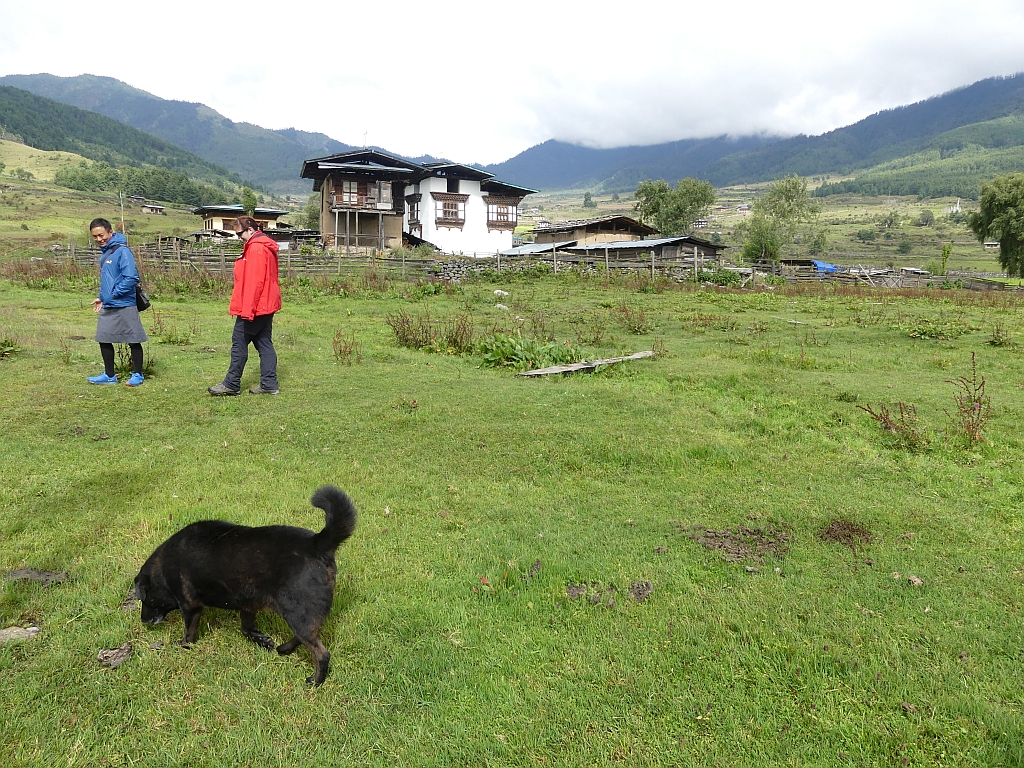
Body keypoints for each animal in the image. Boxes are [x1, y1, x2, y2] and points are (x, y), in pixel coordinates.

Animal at [133, 485, 356, 686]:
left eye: (146, 599)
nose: (144, 621)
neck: (163, 569)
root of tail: (317, 543)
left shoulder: (190, 605)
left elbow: (189, 631)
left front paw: (183, 646)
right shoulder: (247, 603)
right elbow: (246, 628)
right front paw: (261, 640)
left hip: (296, 612)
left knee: (322, 653)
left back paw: (316, 681)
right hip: (299, 615)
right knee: (304, 637)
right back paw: (285, 649)